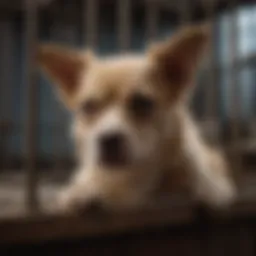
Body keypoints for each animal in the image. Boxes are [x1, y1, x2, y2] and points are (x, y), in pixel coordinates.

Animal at [37, 25, 236, 213]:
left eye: (142, 103)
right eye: (88, 106)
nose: (108, 139)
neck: (127, 178)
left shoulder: (211, 189)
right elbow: (79, 190)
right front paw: (79, 195)